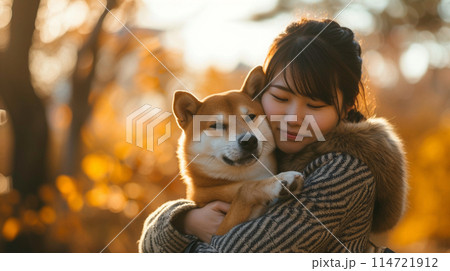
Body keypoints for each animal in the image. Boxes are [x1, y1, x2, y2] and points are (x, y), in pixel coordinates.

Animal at [174, 66, 304, 236]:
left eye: (250, 116)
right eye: (216, 125)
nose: (249, 141)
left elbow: (244, 188)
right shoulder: (219, 231)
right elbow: (246, 188)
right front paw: (280, 181)